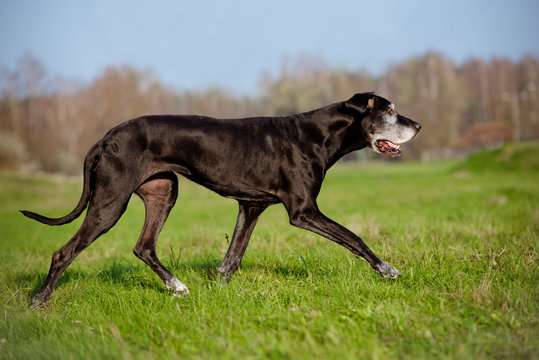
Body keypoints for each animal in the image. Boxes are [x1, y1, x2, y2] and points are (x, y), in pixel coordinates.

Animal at [23, 92, 422, 306]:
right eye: (388, 110)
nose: (418, 126)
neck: (318, 135)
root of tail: (105, 138)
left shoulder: (252, 206)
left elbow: (232, 259)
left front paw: (217, 291)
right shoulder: (304, 211)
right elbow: (353, 237)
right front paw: (387, 269)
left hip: (163, 191)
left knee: (144, 246)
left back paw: (177, 286)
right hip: (110, 202)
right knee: (64, 252)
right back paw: (39, 300)